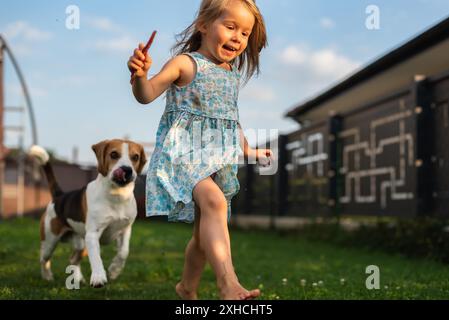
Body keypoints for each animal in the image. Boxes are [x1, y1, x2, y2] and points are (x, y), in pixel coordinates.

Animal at [30, 139, 149, 288]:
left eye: (135, 157)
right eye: (114, 154)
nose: (127, 170)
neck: (117, 196)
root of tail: (59, 196)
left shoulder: (125, 230)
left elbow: (124, 252)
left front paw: (114, 270)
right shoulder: (93, 235)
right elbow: (96, 258)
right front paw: (98, 277)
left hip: (81, 243)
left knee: (73, 259)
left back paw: (77, 279)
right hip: (50, 241)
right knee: (43, 259)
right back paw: (47, 276)